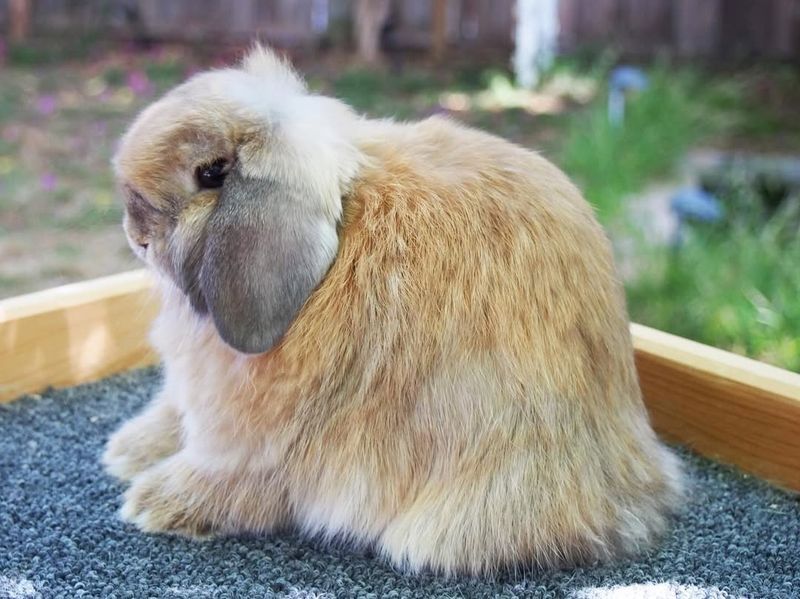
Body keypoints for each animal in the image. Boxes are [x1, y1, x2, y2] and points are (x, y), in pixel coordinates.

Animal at [103, 44, 684, 576]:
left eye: (211, 174)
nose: (135, 237)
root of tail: (631, 488)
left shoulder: (252, 448)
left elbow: (228, 478)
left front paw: (149, 501)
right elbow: (171, 416)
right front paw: (124, 451)